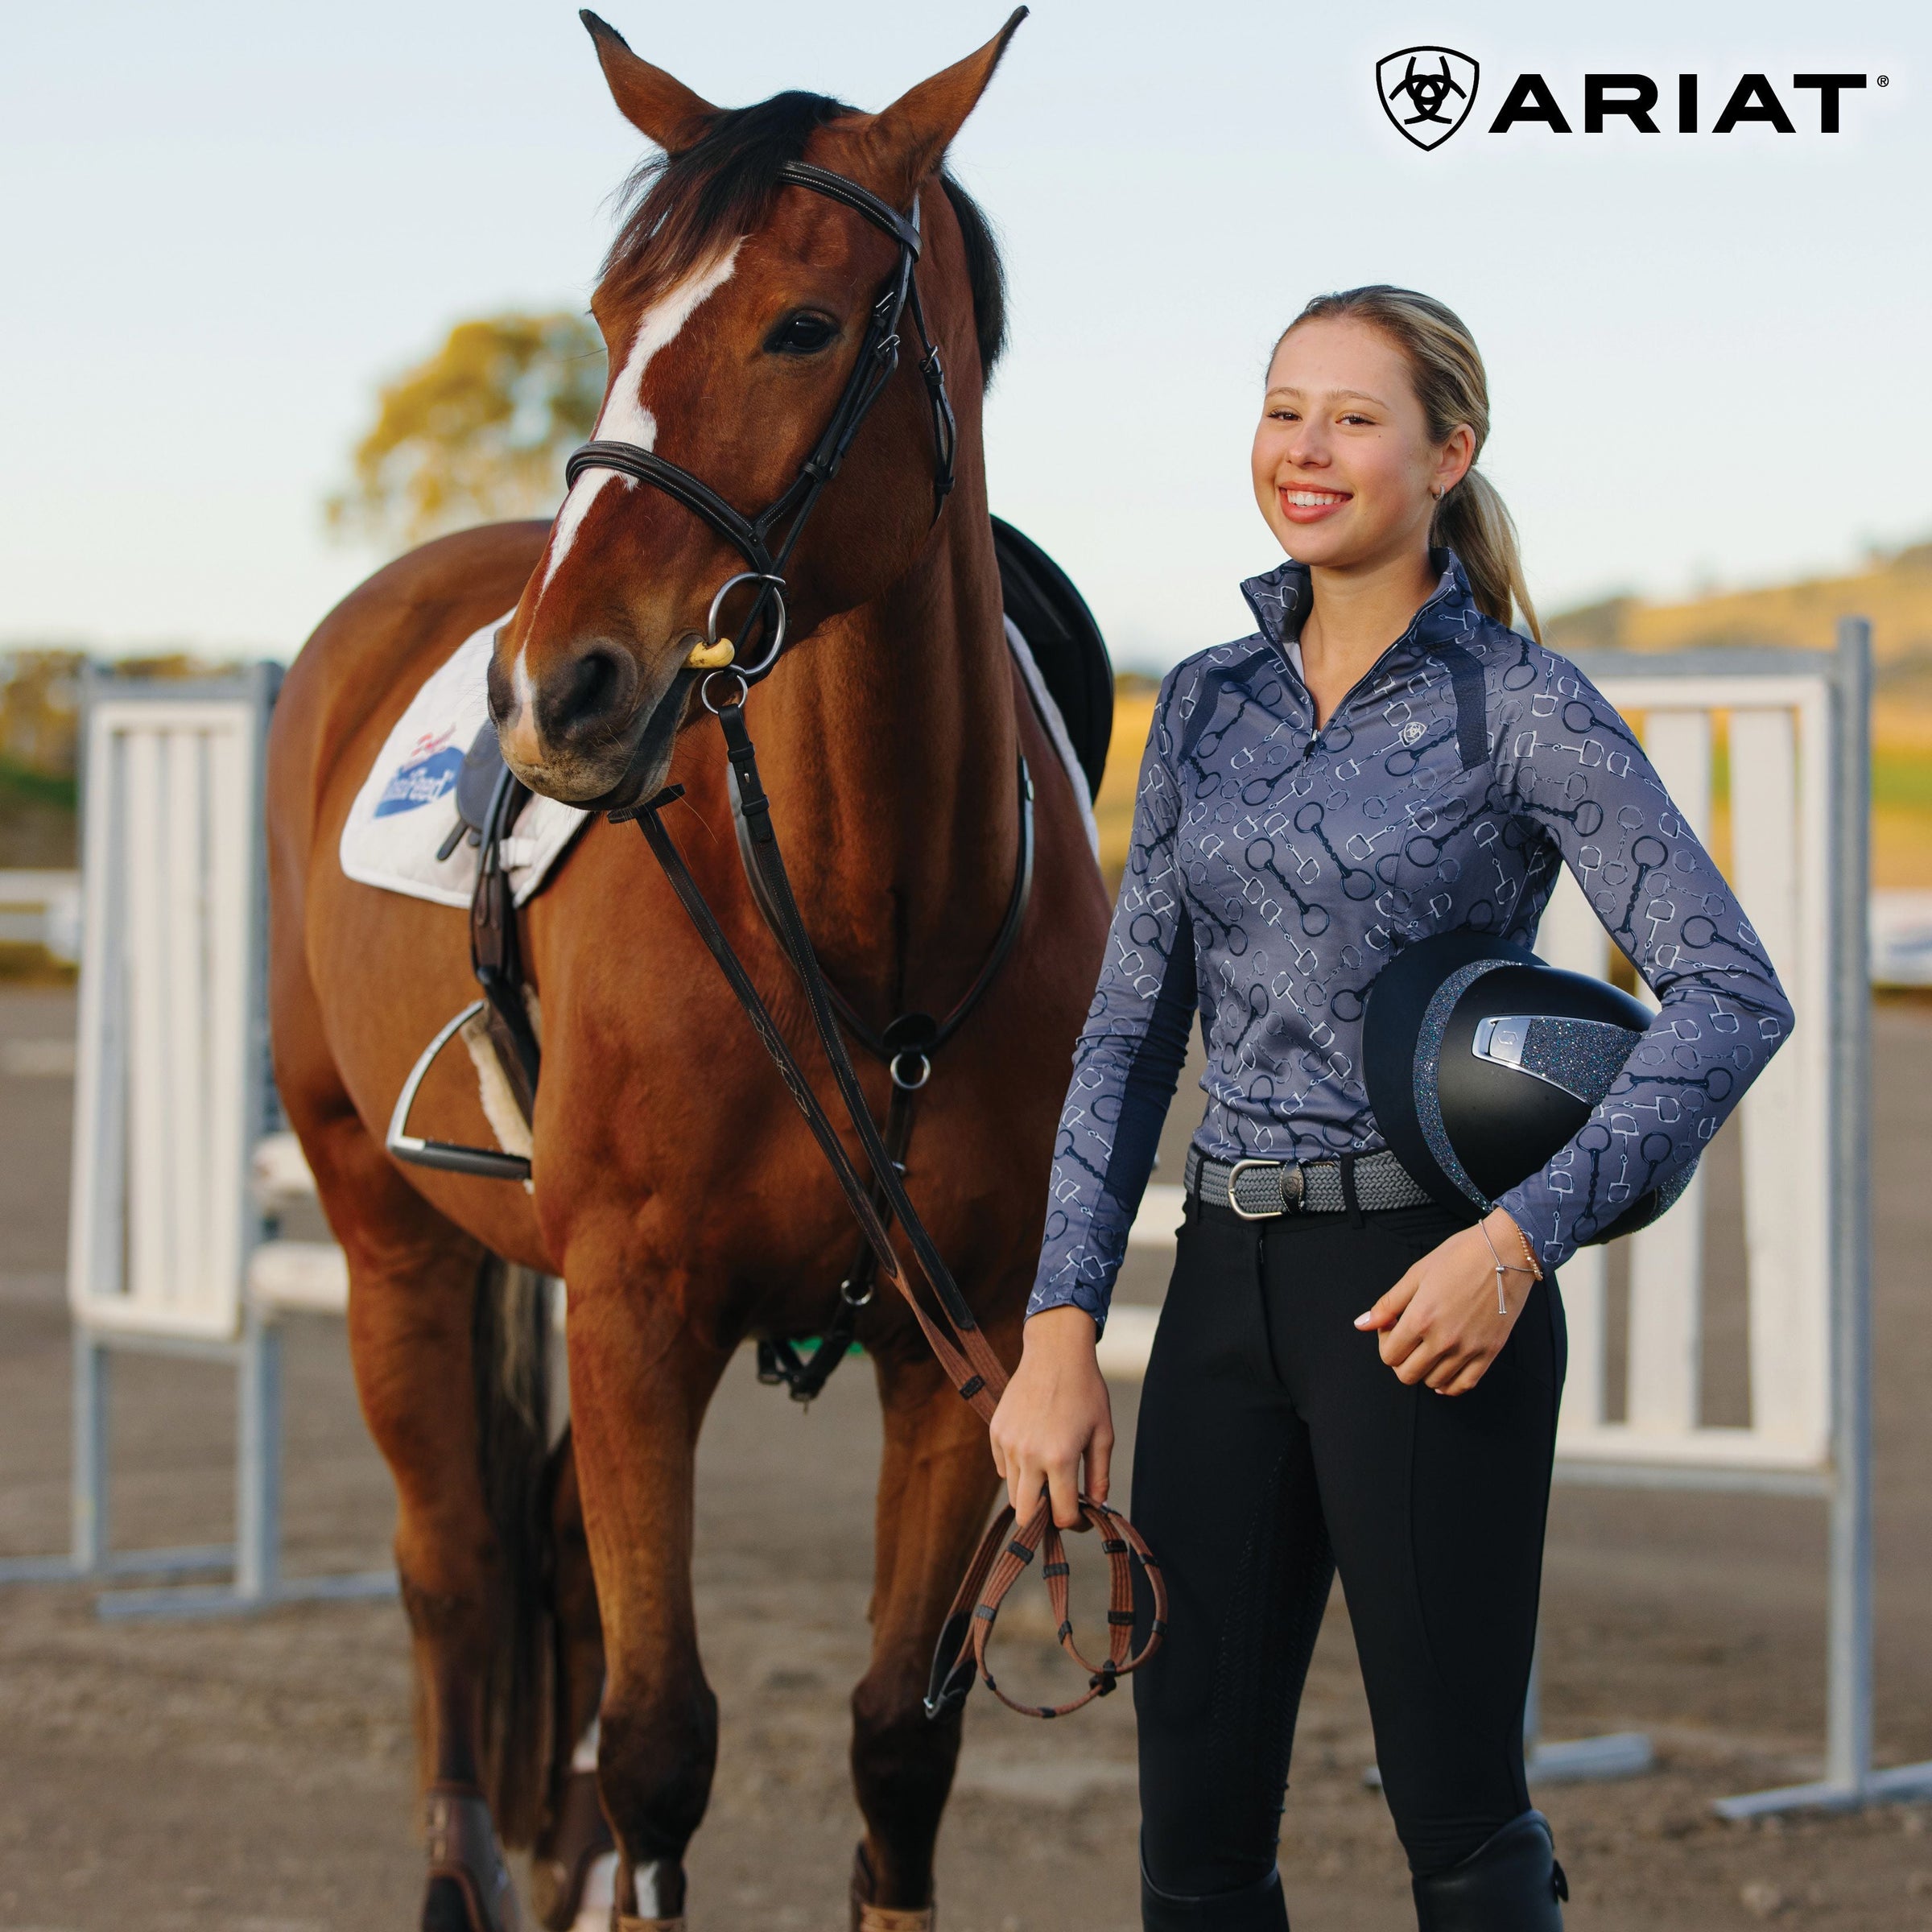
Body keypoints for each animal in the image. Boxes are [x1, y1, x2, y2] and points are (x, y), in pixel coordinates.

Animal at [264, 14, 1113, 1932]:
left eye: (803, 324)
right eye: (609, 317)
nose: (554, 689)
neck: (866, 912)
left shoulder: (966, 1345)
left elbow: (896, 1746)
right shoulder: (637, 1311)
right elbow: (658, 1743)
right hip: (391, 1241)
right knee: (457, 1573)